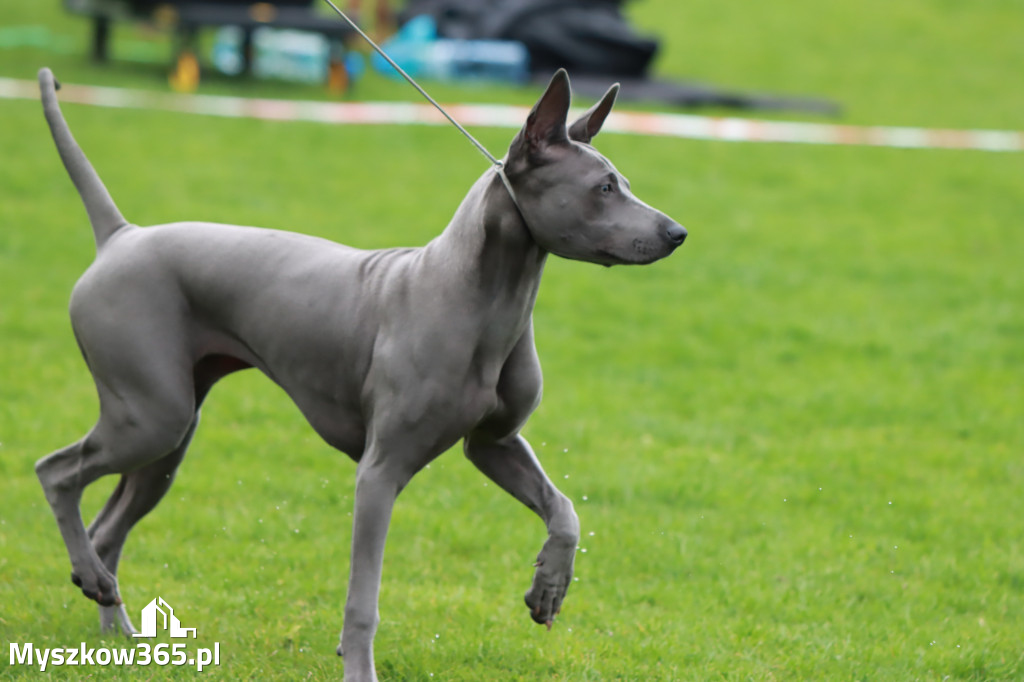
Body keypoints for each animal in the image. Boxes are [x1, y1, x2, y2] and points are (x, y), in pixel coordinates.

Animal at [36, 66, 684, 675]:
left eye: (623, 183)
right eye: (603, 187)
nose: (677, 232)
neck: (485, 298)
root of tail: (121, 236)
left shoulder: (495, 445)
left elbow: (564, 510)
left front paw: (549, 584)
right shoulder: (379, 474)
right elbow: (363, 599)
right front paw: (359, 669)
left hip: (167, 440)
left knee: (108, 528)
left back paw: (112, 617)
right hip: (152, 418)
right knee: (57, 473)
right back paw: (92, 578)